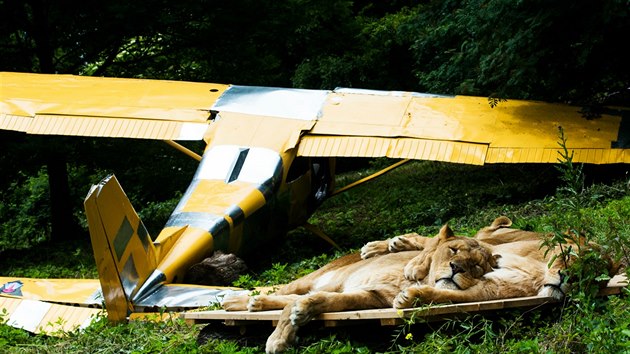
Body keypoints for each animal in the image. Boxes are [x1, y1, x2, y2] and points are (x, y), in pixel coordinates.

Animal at [223, 216, 616, 354]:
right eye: (570, 260)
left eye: (590, 275)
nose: (566, 278)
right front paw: (278, 338)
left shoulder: (368, 297)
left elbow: (316, 303)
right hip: (315, 274)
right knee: (282, 288)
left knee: (293, 294)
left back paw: (250, 306)